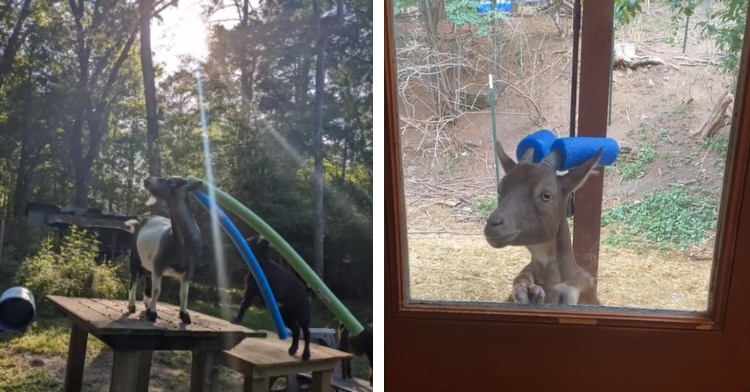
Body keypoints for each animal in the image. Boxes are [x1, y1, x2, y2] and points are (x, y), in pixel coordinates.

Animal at [125, 176, 204, 324]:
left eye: (171, 182)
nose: (147, 180)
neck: (181, 243)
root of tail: (139, 223)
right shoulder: (159, 264)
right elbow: (157, 290)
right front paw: (152, 313)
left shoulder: (189, 269)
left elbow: (184, 293)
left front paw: (184, 315)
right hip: (134, 256)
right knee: (134, 278)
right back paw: (132, 305)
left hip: (148, 262)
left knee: (147, 278)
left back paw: (146, 303)